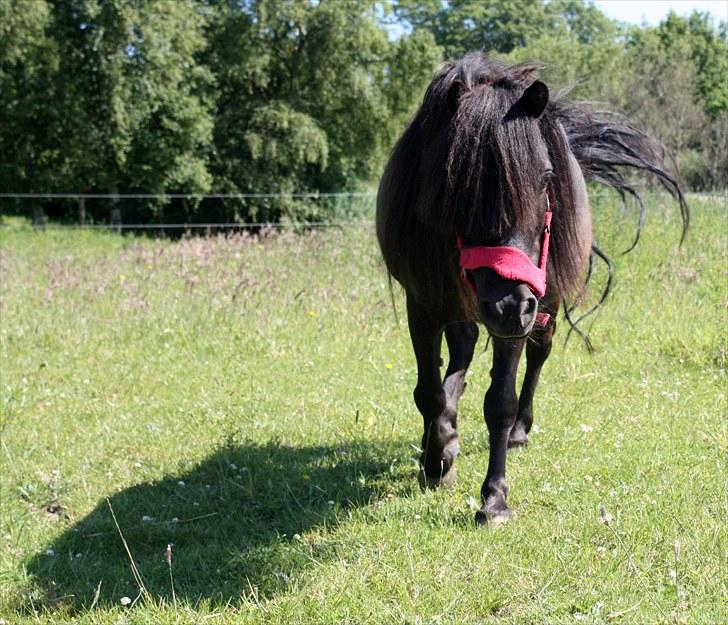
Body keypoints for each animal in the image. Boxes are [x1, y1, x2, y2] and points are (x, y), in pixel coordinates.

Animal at [376, 53, 688, 524]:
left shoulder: (523, 314)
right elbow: (428, 392)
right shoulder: (424, 306)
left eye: (544, 178)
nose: (508, 305)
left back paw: (519, 430)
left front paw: (494, 499)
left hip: (546, 304)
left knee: (538, 357)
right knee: (462, 351)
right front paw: (436, 460)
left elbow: (499, 403)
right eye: (457, 186)